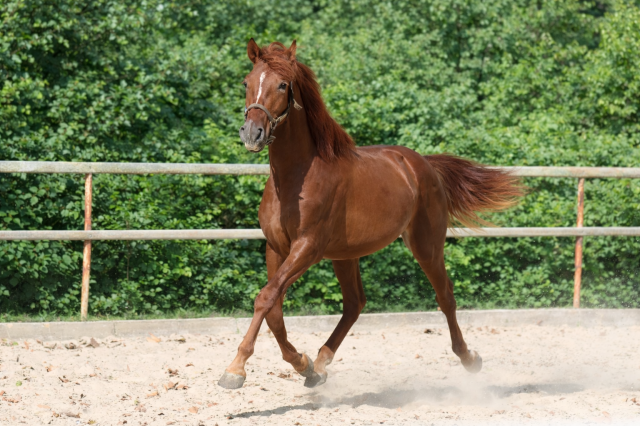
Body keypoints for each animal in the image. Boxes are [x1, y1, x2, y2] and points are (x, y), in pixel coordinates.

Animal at [218, 39, 523, 389]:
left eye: (282, 85)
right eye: (246, 83)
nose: (251, 133)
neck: (296, 176)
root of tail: (425, 164)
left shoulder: (307, 248)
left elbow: (266, 299)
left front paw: (235, 369)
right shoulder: (276, 248)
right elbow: (274, 309)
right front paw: (302, 364)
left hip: (426, 246)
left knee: (445, 295)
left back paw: (469, 359)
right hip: (345, 254)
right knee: (355, 304)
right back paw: (320, 365)